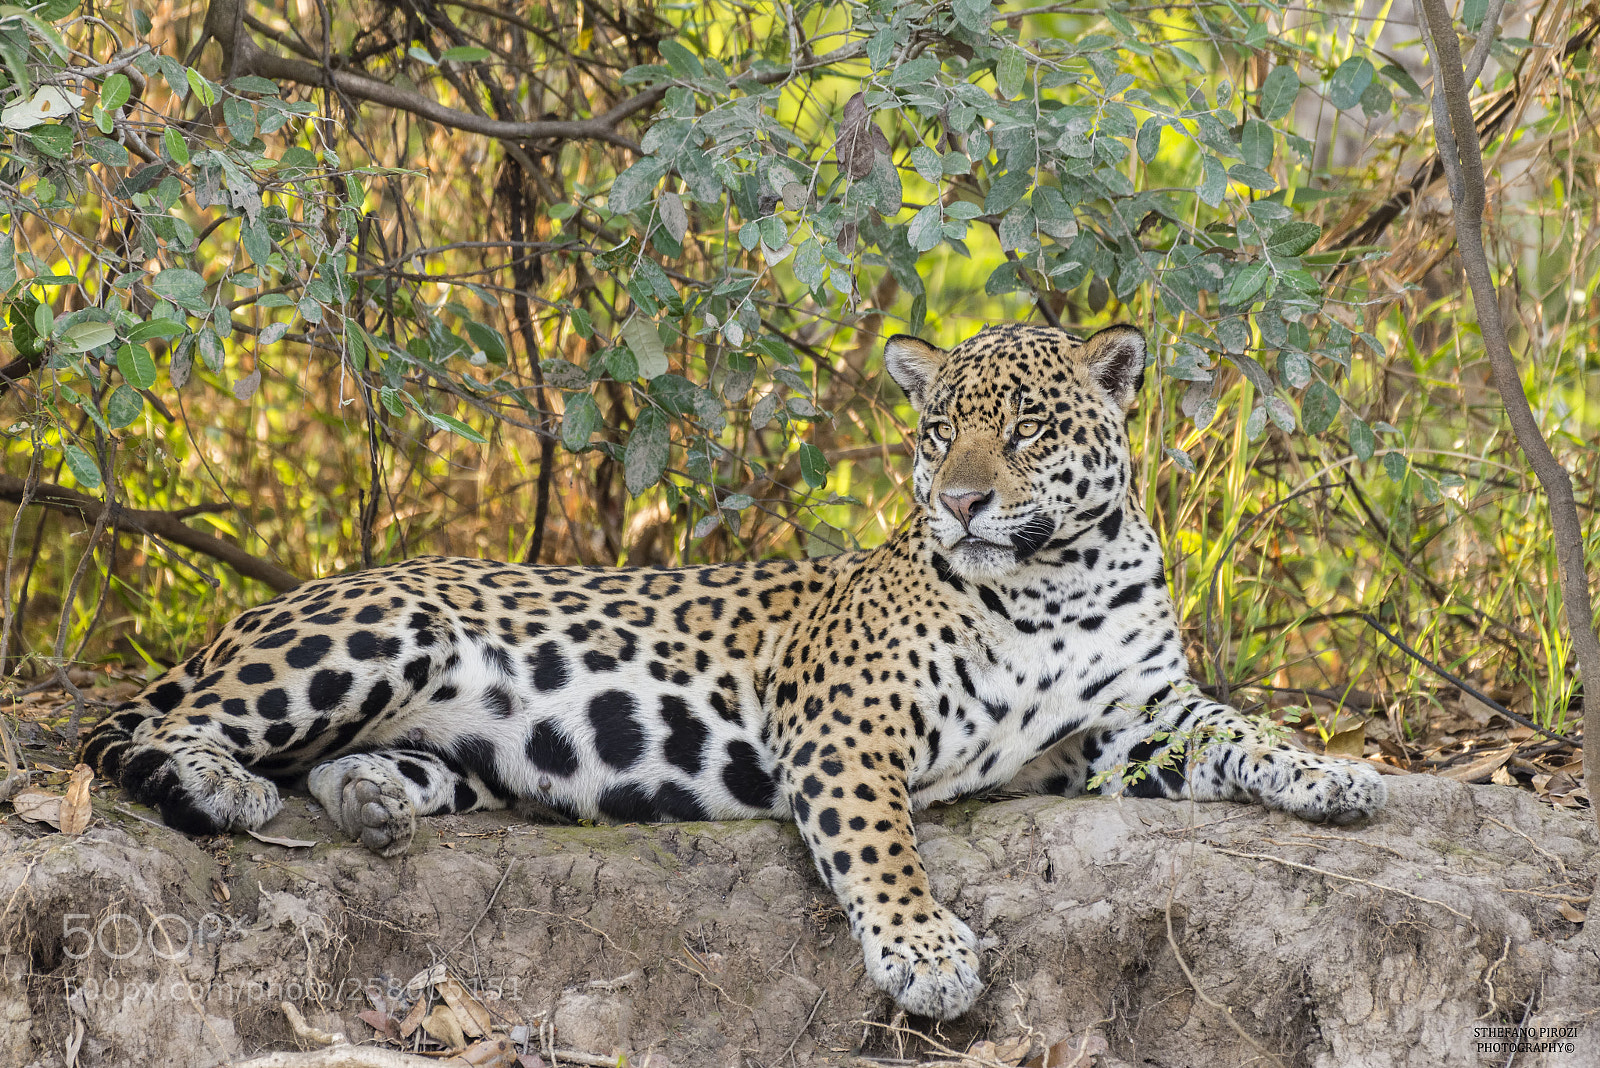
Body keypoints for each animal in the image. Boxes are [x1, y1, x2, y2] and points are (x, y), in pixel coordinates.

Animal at [81, 322, 1386, 1021]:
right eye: (936, 433)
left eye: (1026, 429)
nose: (961, 501)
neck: (1055, 577)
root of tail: (255, 608)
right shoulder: (845, 722)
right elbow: (880, 845)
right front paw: (925, 953)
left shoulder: (1132, 722)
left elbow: (1248, 734)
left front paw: (1338, 776)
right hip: (381, 629)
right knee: (146, 734)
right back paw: (223, 786)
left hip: (449, 738)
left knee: (339, 763)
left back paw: (370, 801)